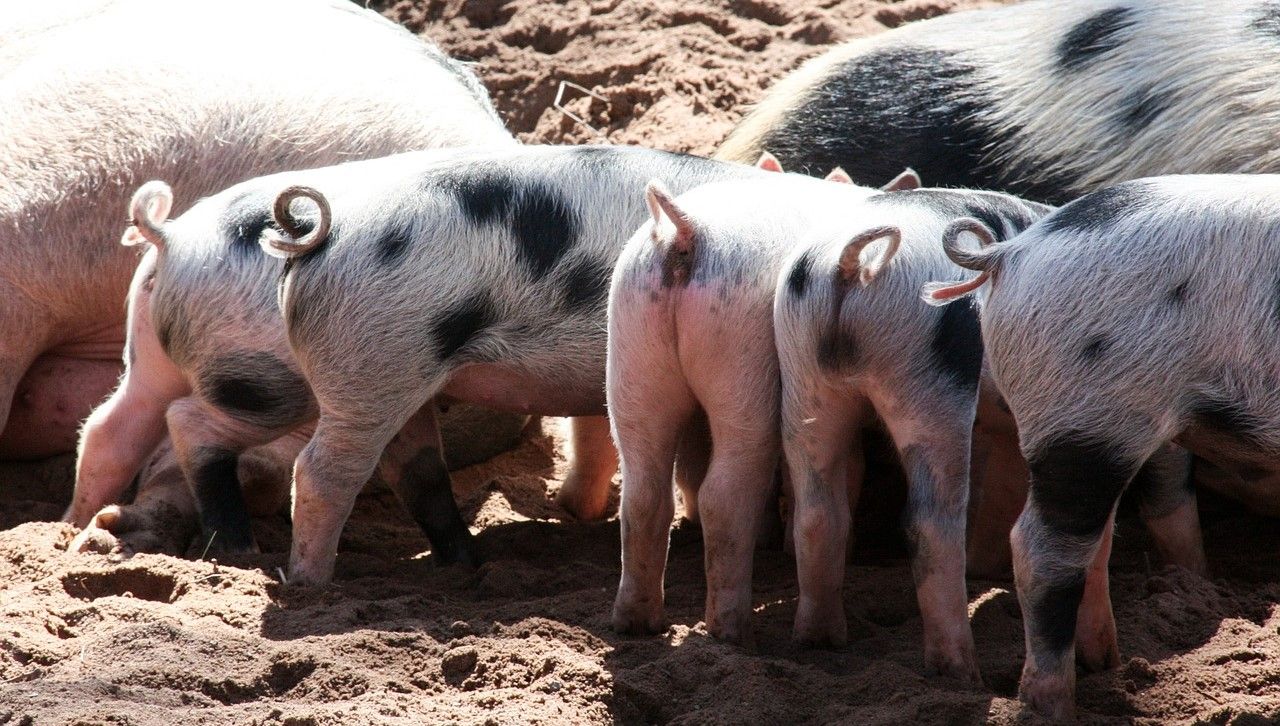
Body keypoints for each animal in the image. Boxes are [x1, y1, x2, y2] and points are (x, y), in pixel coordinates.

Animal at [147, 144, 771, 585]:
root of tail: (313, 237)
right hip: (356, 367)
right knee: (308, 467)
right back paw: (306, 582)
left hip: (392, 372)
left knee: (407, 467)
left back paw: (468, 566)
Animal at [923, 174, 1280, 718]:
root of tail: (1014, 251)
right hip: (1084, 418)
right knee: (1041, 550)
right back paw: (1052, 706)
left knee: (1094, 542)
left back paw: (1108, 666)